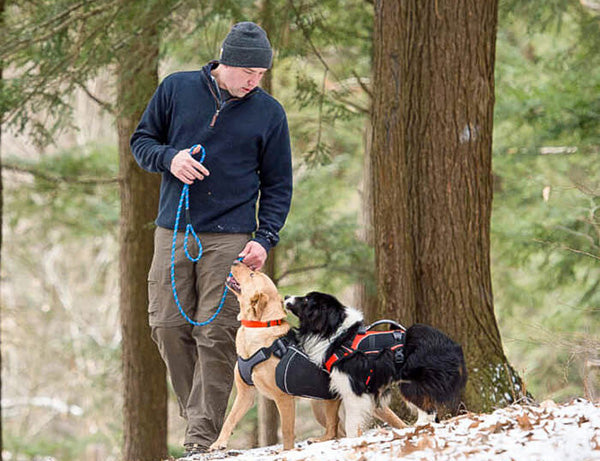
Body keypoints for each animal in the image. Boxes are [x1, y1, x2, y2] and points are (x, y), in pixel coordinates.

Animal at [211, 260, 342, 452]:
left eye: (252, 274)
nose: (236, 260)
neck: (258, 326)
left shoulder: (284, 398)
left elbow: (287, 432)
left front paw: (288, 451)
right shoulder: (245, 394)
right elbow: (230, 419)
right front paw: (219, 443)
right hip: (320, 405)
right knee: (337, 430)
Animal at [284, 292, 466, 434]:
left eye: (306, 300)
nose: (285, 296)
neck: (338, 335)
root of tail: (454, 347)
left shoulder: (354, 390)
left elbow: (351, 425)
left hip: (412, 384)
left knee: (428, 411)